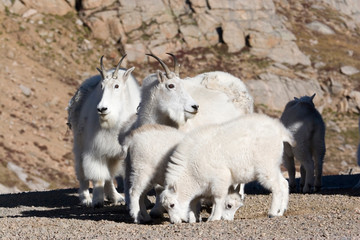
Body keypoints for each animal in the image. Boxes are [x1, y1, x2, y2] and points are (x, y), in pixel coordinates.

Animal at [67, 55, 141, 207]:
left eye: (116, 86)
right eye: (101, 86)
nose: (102, 109)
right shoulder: (96, 150)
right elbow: (99, 177)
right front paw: (97, 200)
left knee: (110, 175)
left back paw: (115, 197)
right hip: (79, 142)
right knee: (81, 171)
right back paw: (86, 198)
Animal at [160, 113, 292, 224]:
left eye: (171, 205)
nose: (174, 221)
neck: (190, 169)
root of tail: (280, 131)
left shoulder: (220, 179)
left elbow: (218, 199)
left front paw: (214, 218)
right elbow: (194, 203)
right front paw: (194, 220)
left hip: (266, 166)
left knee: (276, 188)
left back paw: (273, 213)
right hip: (274, 165)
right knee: (284, 183)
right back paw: (281, 211)